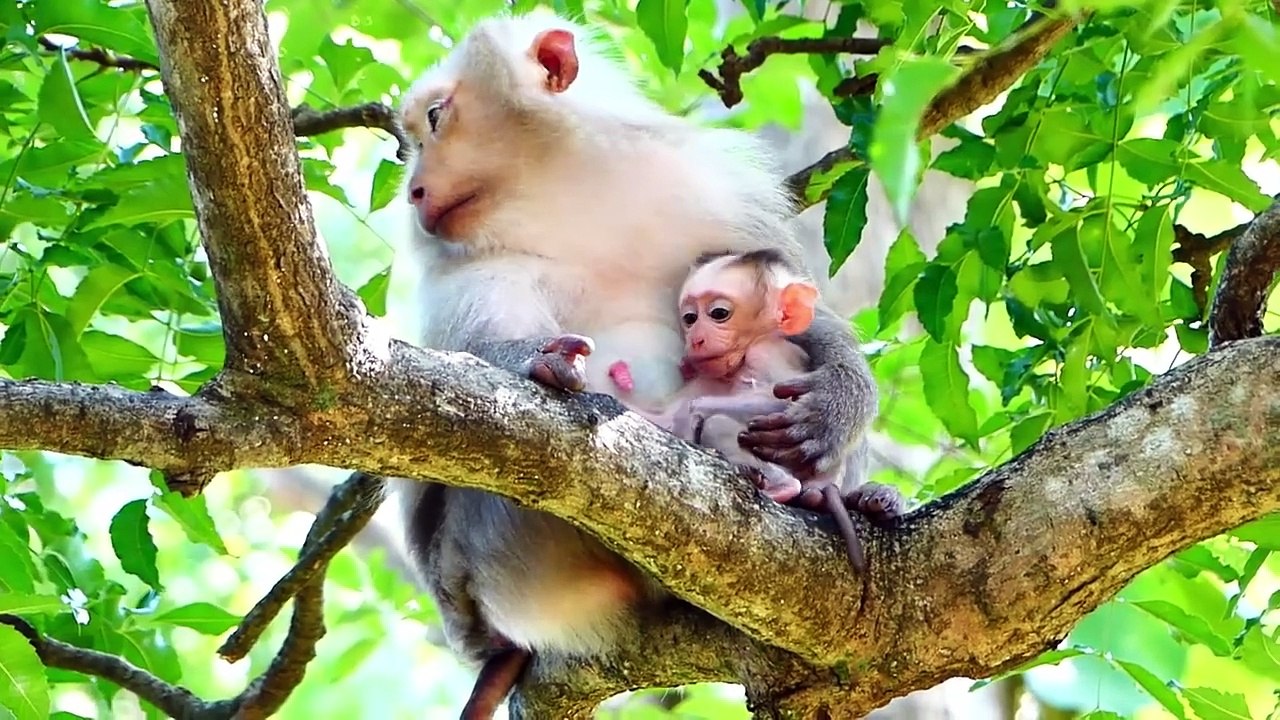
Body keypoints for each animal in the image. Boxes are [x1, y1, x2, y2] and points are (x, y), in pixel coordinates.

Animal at [608, 249, 907, 573]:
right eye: (689, 318)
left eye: (719, 313)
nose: (695, 340)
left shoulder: (766, 352)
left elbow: (780, 401)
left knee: (720, 426)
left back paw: (784, 486)